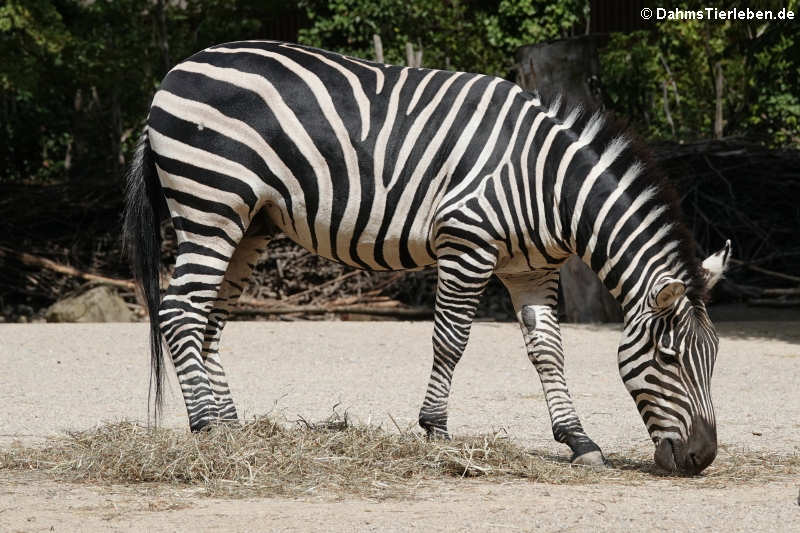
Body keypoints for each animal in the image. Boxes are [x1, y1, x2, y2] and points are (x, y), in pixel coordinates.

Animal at [123, 40, 732, 474]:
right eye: (669, 359)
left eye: (715, 359)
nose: (702, 458)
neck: (548, 183)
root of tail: (174, 73)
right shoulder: (468, 242)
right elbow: (451, 340)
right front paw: (436, 430)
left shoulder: (531, 270)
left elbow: (549, 353)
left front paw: (579, 440)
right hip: (211, 203)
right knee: (180, 310)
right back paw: (205, 425)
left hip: (250, 223)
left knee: (210, 318)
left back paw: (230, 429)